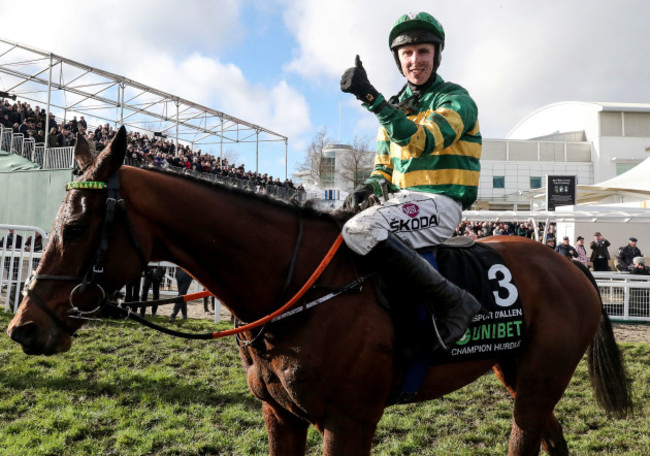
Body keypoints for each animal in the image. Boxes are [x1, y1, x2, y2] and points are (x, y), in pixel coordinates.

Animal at [7, 127, 632, 456]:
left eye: (77, 226)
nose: (24, 327)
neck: (296, 288)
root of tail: (569, 265)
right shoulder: (281, 417)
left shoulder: (348, 424)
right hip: (517, 373)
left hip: (539, 378)